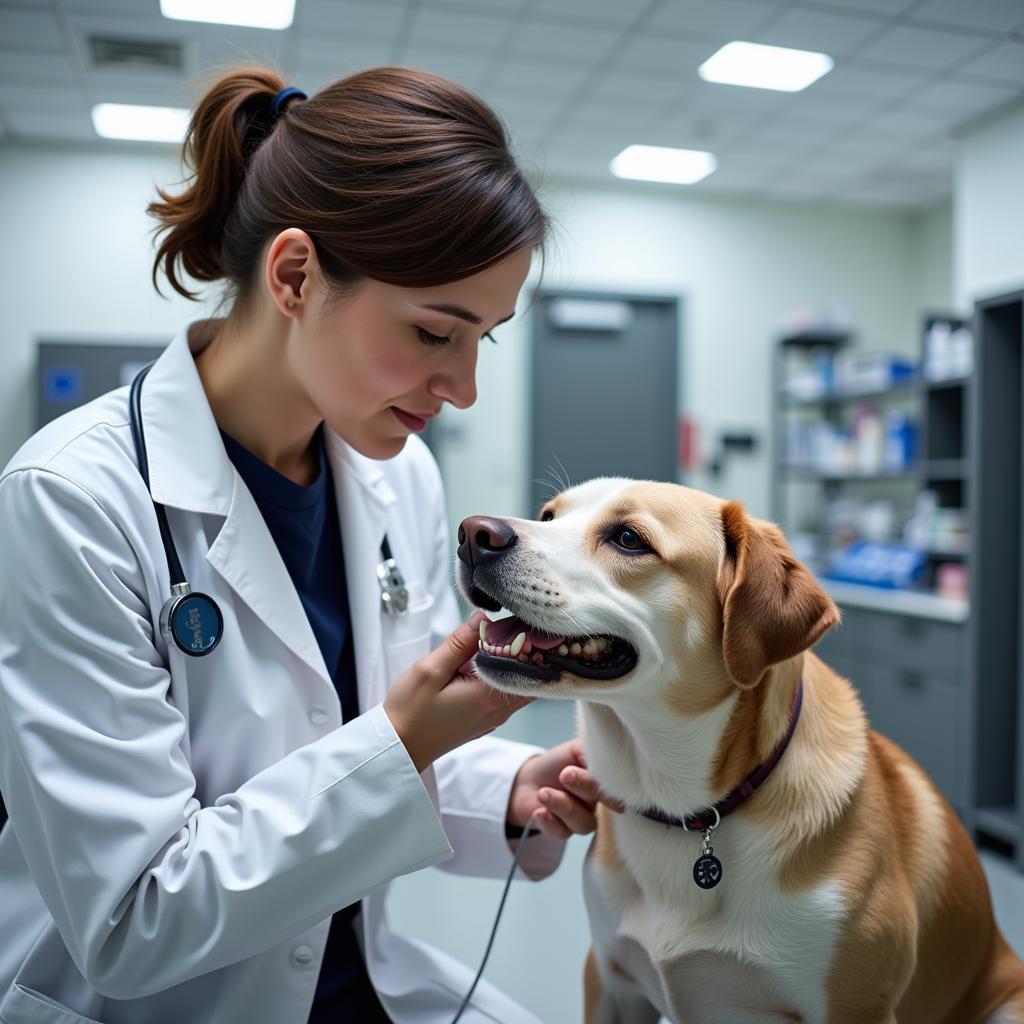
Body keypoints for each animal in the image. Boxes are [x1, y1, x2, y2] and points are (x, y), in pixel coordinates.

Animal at [456, 477, 1024, 1024]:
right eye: (549, 516)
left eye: (628, 539)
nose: (473, 533)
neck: (684, 810)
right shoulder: (611, 980)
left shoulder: (857, 1008)